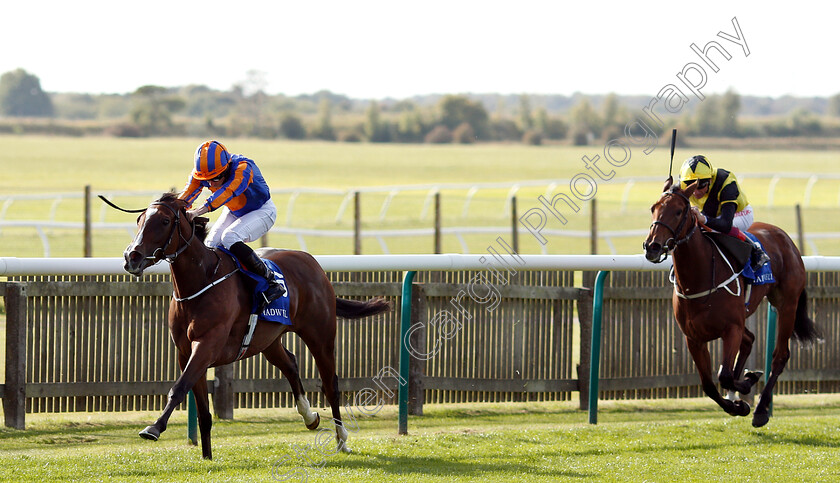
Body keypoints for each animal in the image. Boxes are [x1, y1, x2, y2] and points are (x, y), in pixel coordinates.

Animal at [123, 191, 392, 460]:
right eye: (139, 219)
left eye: (165, 221)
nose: (132, 257)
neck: (202, 281)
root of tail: (313, 263)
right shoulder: (185, 350)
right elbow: (202, 409)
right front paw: (207, 457)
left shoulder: (207, 344)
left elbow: (179, 387)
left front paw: (154, 428)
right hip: (268, 340)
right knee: (291, 364)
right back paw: (309, 416)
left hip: (320, 335)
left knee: (330, 384)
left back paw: (341, 439)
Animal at [648, 184, 816, 428]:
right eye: (653, 208)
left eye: (679, 211)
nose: (652, 246)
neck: (700, 277)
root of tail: (785, 237)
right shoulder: (694, 338)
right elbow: (709, 385)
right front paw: (738, 402)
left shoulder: (731, 329)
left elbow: (724, 375)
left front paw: (746, 387)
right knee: (750, 340)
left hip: (787, 305)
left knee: (780, 356)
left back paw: (761, 410)